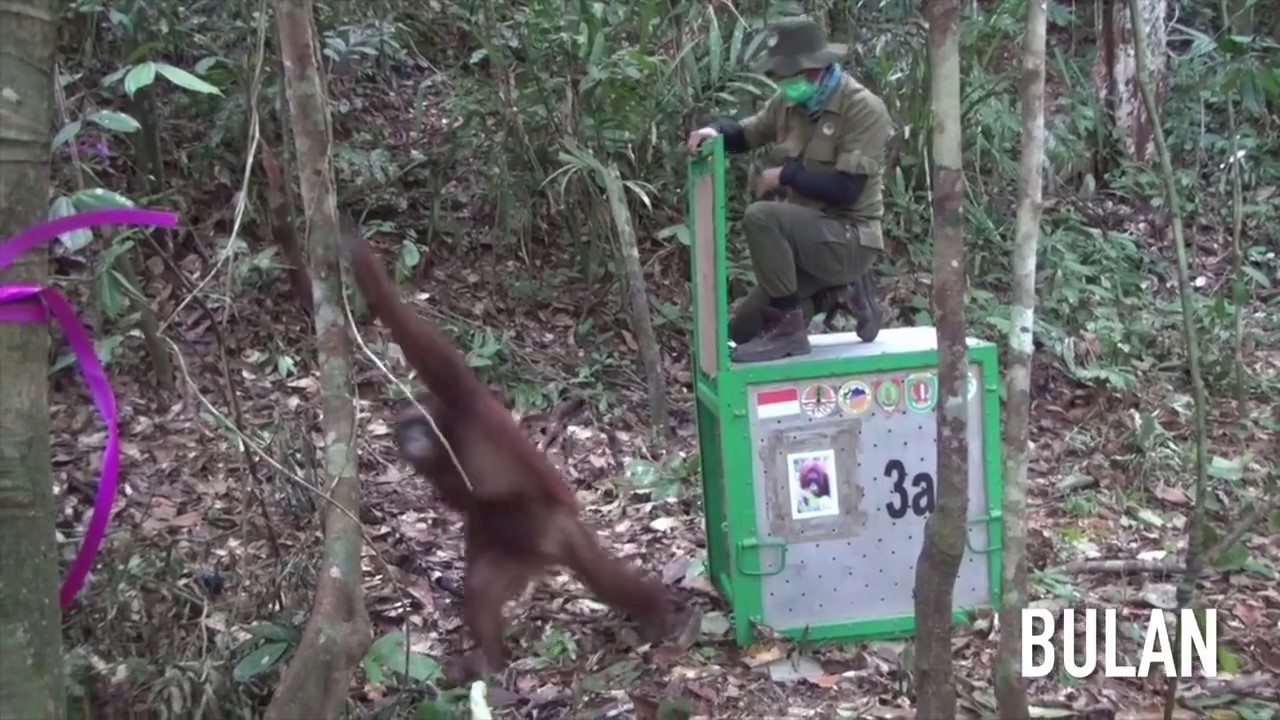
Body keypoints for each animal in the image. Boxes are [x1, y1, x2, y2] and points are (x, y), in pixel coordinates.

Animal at [343, 231, 676, 683]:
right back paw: (490, 659)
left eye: (417, 423)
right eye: (404, 428)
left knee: (594, 572)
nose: (410, 437)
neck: (448, 436)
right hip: (526, 549)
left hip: (547, 525)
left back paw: (657, 612)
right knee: (488, 576)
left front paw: (351, 250)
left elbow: (418, 339)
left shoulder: (460, 396)